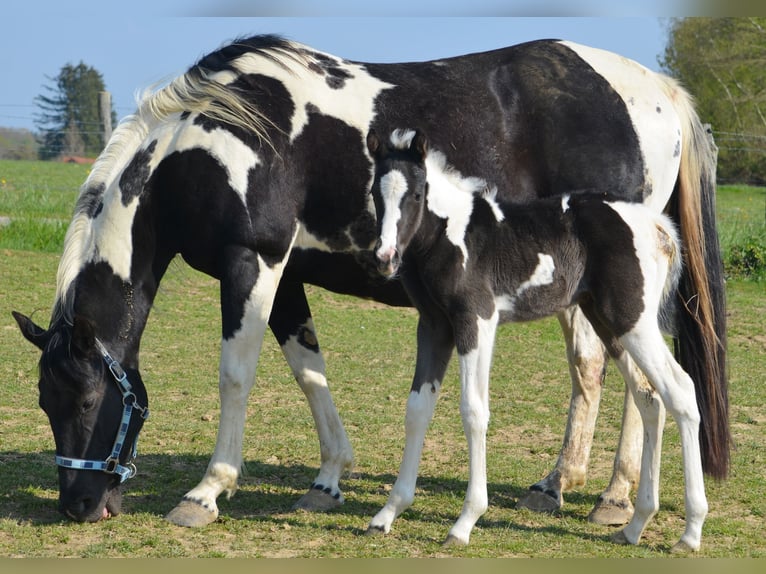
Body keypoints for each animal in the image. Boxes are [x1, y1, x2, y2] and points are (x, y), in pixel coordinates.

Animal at [13, 35, 732, 532]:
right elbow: (308, 370)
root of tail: (660, 93)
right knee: (613, 376)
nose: (78, 505)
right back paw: (569, 488)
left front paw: (207, 492)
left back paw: (609, 498)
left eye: (85, 400)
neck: (214, 141)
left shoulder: (254, 262)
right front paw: (329, 479)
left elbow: (236, 376)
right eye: (45, 403)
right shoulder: (287, 276)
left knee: (630, 381)